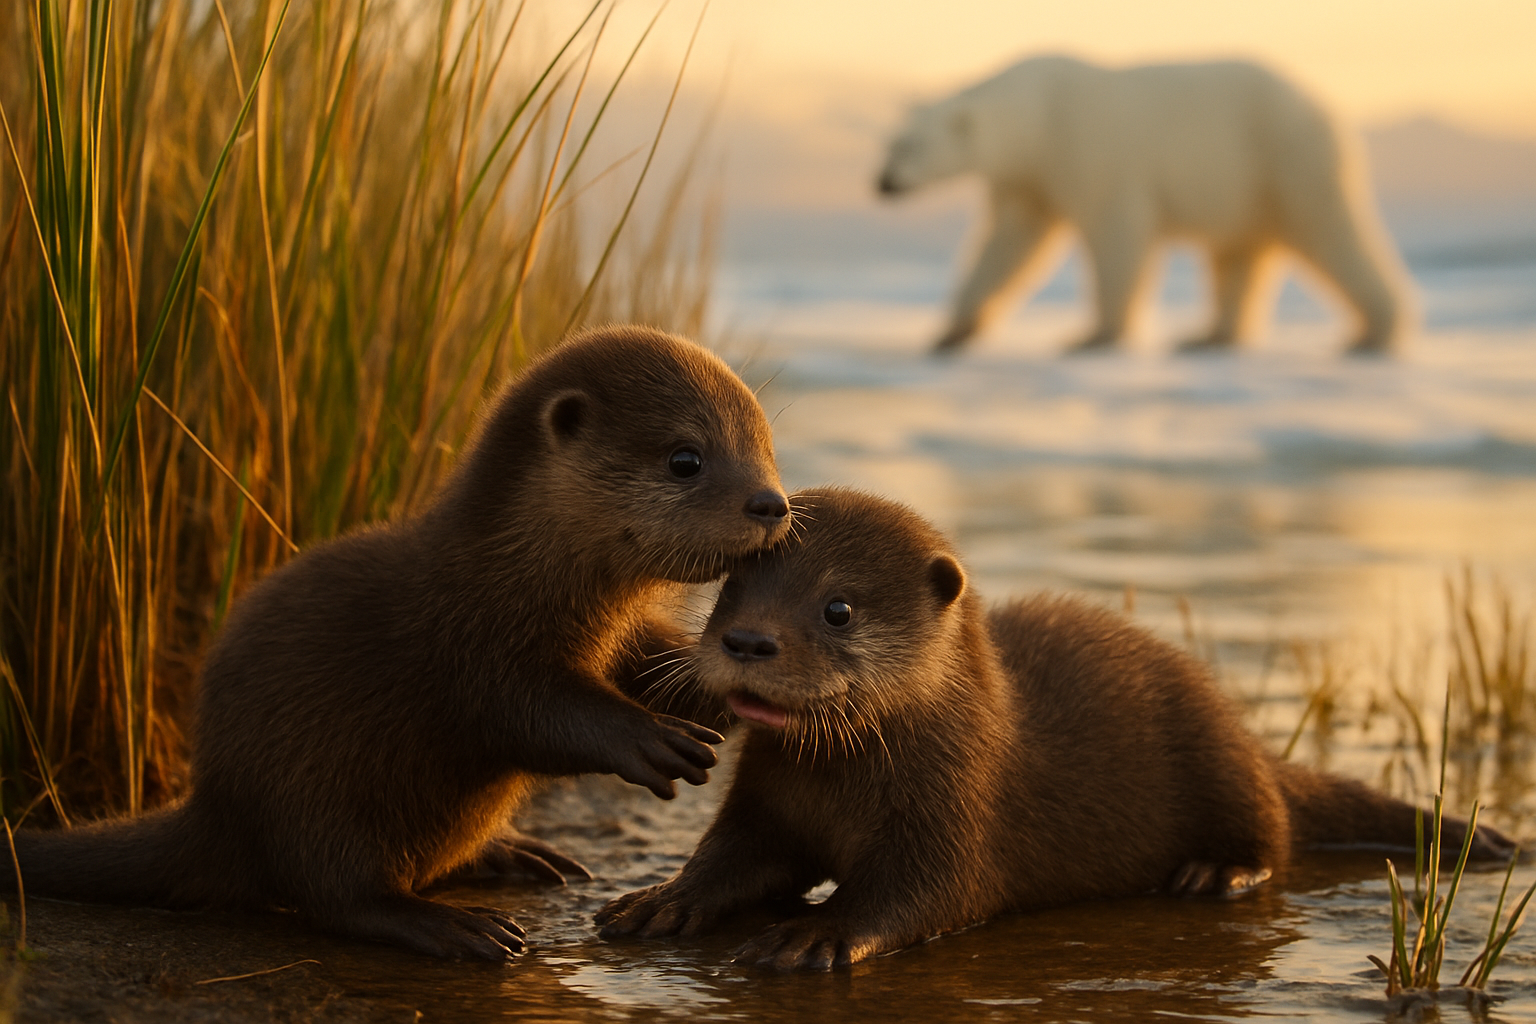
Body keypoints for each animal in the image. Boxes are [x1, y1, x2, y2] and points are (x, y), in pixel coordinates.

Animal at [13, 326, 791, 961]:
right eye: (686, 459)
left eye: (764, 447)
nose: (772, 503)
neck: (512, 577)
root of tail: (216, 803)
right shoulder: (468, 641)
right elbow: (528, 712)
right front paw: (647, 737)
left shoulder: (619, 638)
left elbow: (658, 669)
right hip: (306, 796)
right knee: (334, 893)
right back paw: (452, 925)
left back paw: (514, 853)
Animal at [596, 487, 1515, 970]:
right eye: (732, 588)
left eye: (838, 608)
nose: (747, 641)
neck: (842, 788)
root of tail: (1250, 738)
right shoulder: (764, 802)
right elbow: (735, 859)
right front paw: (662, 898)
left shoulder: (958, 810)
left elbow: (921, 892)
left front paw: (815, 932)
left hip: (1217, 752)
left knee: (1273, 833)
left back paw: (1216, 872)